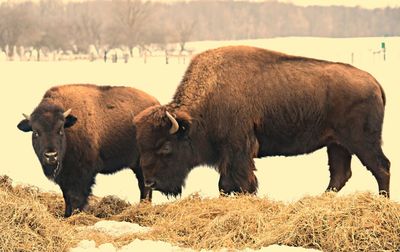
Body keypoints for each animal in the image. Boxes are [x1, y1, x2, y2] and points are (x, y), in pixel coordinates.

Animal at [18, 84, 159, 217]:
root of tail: (157, 104)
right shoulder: (65, 176)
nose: (51, 155)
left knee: (144, 186)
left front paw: (75, 215)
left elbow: (77, 197)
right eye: (36, 132)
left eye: (60, 130)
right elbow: (67, 196)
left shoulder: (82, 174)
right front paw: (66, 215)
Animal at [134, 45, 390, 199]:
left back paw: (382, 201)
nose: (150, 183)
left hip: (362, 142)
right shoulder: (228, 154)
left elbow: (237, 181)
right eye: (142, 147)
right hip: (336, 144)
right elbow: (227, 183)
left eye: (165, 147)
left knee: (381, 167)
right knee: (340, 174)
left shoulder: (238, 149)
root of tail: (375, 82)